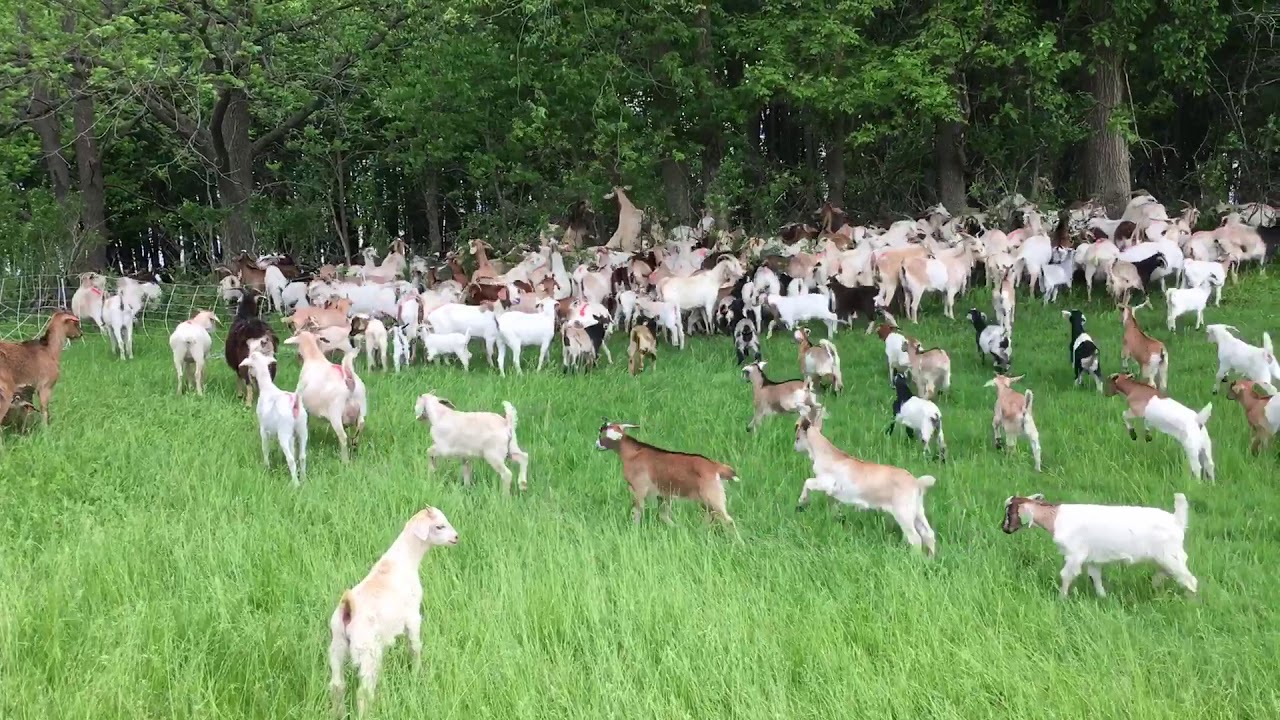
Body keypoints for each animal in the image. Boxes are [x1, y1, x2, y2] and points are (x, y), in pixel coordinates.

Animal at [328, 507, 458, 718]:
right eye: (439, 526)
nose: (456, 537)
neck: (404, 561)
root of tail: (348, 607)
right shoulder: (413, 615)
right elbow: (415, 647)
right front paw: (416, 673)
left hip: (337, 645)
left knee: (337, 685)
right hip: (368, 651)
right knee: (364, 691)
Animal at [595, 420, 737, 526]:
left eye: (601, 435)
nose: (596, 445)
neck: (632, 453)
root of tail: (716, 467)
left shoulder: (639, 489)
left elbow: (637, 512)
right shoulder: (663, 494)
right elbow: (663, 514)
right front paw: (676, 527)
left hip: (712, 495)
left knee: (728, 520)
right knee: (711, 515)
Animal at [793, 406, 938, 556]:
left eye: (797, 436)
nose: (794, 447)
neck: (825, 453)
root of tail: (917, 483)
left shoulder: (826, 483)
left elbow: (808, 482)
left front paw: (802, 500)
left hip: (903, 512)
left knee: (915, 538)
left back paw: (915, 557)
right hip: (917, 510)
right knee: (928, 534)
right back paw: (930, 558)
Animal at [1001, 493, 1197, 598]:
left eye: (1009, 512)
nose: (1004, 529)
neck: (1055, 519)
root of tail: (1177, 520)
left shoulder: (1075, 554)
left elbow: (1066, 575)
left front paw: (1061, 597)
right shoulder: (1092, 558)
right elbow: (1095, 576)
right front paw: (1103, 596)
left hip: (1171, 555)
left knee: (1189, 579)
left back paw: (1190, 601)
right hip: (1164, 557)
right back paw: (1156, 584)